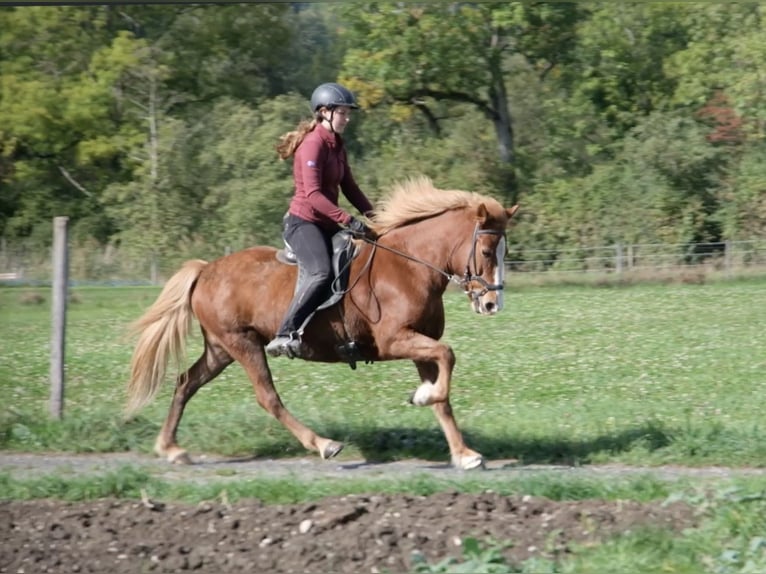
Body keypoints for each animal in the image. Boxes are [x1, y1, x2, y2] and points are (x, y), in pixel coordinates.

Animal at [126, 176, 519, 470]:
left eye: (505, 253)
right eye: (487, 252)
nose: (491, 304)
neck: (410, 266)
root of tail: (206, 269)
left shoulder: (419, 343)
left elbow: (443, 394)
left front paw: (463, 453)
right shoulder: (395, 340)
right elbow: (447, 357)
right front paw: (423, 396)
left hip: (221, 348)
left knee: (186, 382)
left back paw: (171, 448)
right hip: (243, 344)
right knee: (267, 397)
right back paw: (323, 444)